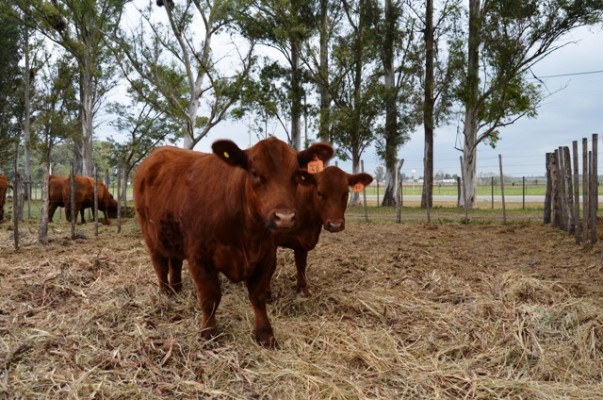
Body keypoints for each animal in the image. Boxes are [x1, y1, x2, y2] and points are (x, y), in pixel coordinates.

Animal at [134, 138, 336, 346]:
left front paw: (265, 334)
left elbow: (258, 296)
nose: (285, 218)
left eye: (296, 175)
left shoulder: (265, 255)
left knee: (175, 262)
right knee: (160, 265)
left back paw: (176, 289)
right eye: (255, 173)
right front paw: (208, 332)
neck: (247, 234)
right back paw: (166, 293)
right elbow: (210, 297)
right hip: (150, 235)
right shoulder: (199, 257)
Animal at [272, 166, 372, 296]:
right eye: (319, 192)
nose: (335, 225)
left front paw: (303, 290)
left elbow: (301, 265)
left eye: (346, 193)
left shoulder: (302, 242)